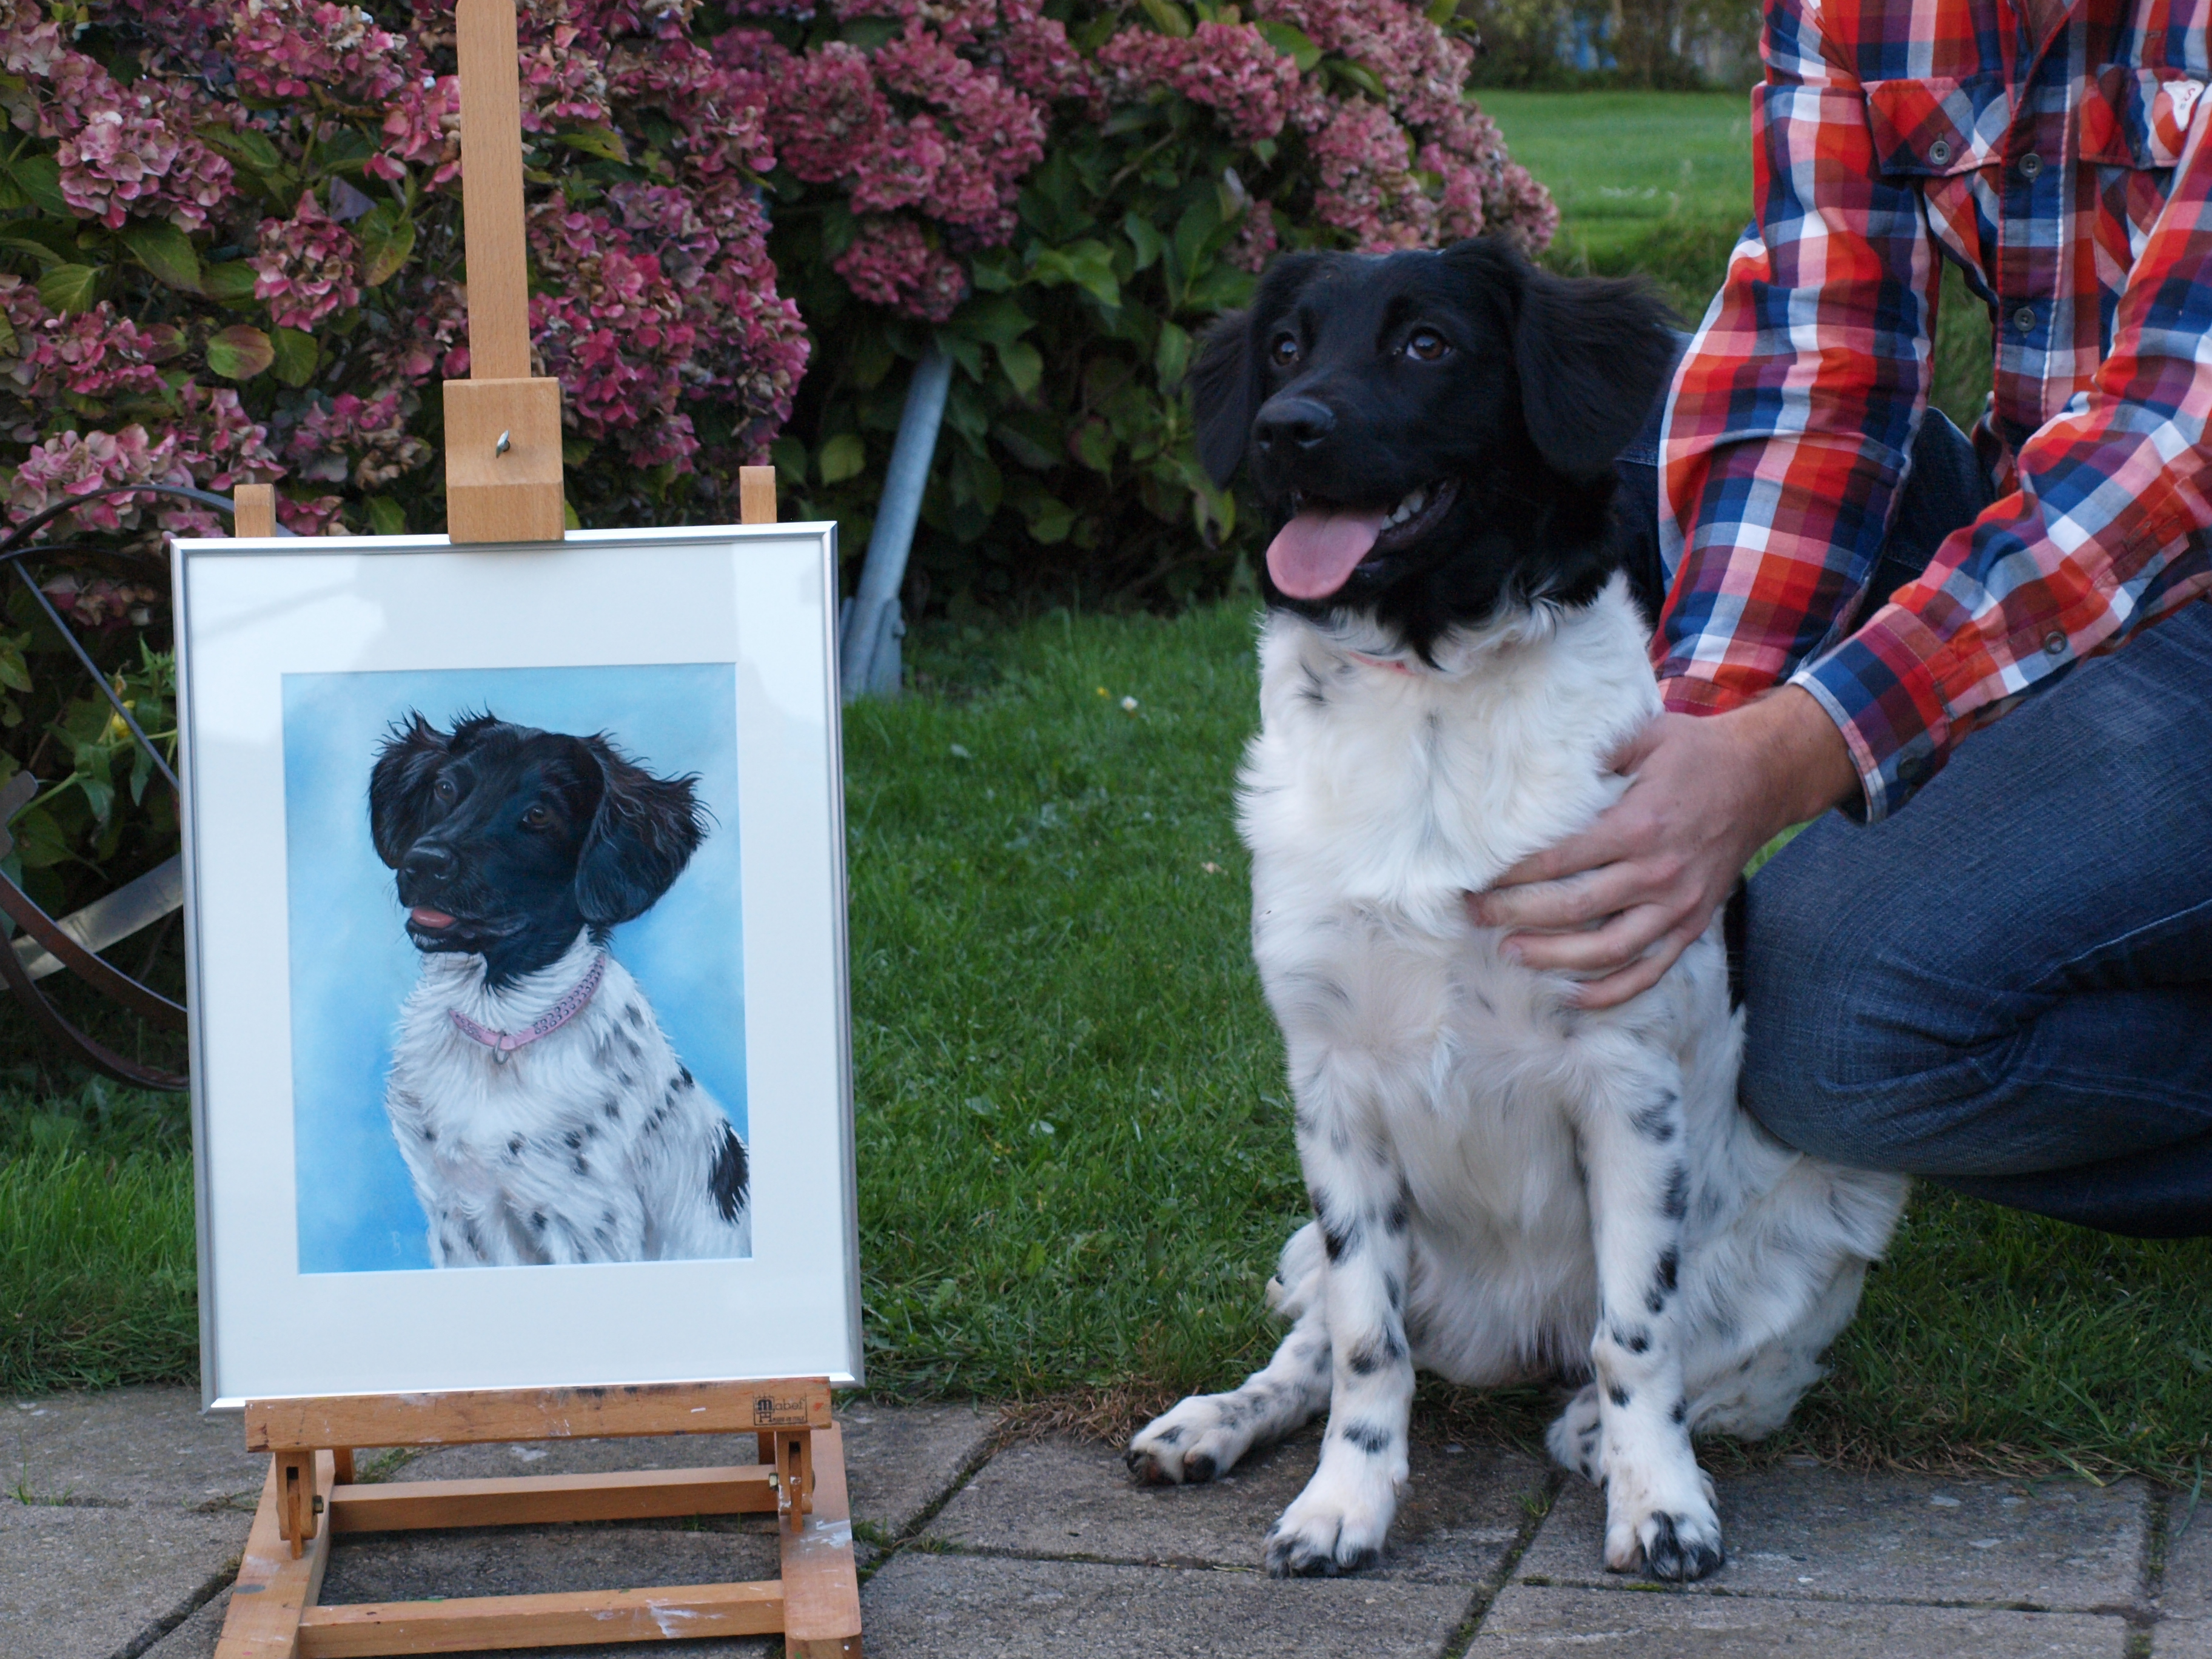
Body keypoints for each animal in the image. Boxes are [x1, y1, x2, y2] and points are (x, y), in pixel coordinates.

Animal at [358, 716, 748, 1274]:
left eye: (539, 814)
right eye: (446, 788)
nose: (423, 863)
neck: (501, 1030)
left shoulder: (585, 1224)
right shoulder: (454, 1213)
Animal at [1124, 243, 1902, 1583]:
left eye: (1426, 343)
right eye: (1285, 347)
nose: (1286, 429)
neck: (1432, 696)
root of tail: (1504, 1343)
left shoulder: (1625, 1083)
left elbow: (1637, 1336)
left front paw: (1660, 1507)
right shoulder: (1332, 1088)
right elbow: (1366, 1351)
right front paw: (1342, 1506)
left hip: (1822, 1215)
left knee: (1711, 1372)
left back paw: (1596, 1434)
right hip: (1318, 1242)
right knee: (1314, 1346)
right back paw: (1211, 1423)